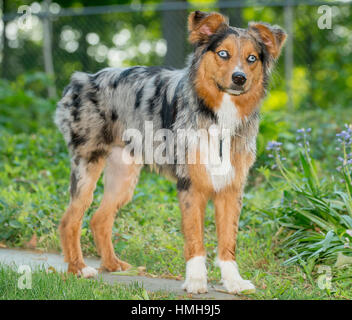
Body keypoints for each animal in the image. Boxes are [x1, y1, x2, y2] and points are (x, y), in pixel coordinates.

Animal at [55, 10, 286, 294]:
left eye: (252, 58)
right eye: (223, 53)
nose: (239, 78)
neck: (218, 114)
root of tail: (79, 80)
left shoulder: (231, 188)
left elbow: (228, 240)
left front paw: (233, 281)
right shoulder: (191, 185)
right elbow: (195, 237)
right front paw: (196, 280)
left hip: (123, 176)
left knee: (99, 219)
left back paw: (112, 264)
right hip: (87, 165)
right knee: (70, 220)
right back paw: (78, 268)